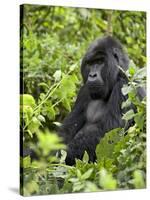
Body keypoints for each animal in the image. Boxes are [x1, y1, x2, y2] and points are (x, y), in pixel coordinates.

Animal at [59, 36, 145, 166]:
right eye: (90, 64)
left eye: (100, 62)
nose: (92, 75)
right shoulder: (84, 91)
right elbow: (66, 130)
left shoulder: (125, 86)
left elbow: (111, 133)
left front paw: (65, 154)